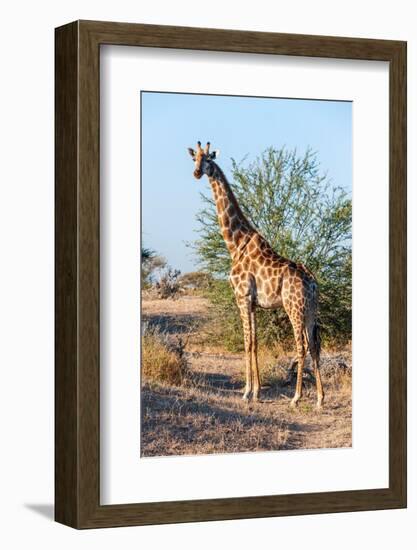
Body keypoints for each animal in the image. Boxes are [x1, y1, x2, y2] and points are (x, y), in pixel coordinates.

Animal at [187, 142, 324, 410]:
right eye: (194, 158)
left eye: (208, 159)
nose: (197, 172)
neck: (235, 244)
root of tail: (312, 282)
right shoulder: (253, 302)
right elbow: (255, 341)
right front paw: (257, 391)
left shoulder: (241, 297)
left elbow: (247, 341)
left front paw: (247, 392)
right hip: (311, 309)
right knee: (314, 344)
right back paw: (320, 399)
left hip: (294, 307)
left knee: (301, 345)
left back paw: (296, 397)